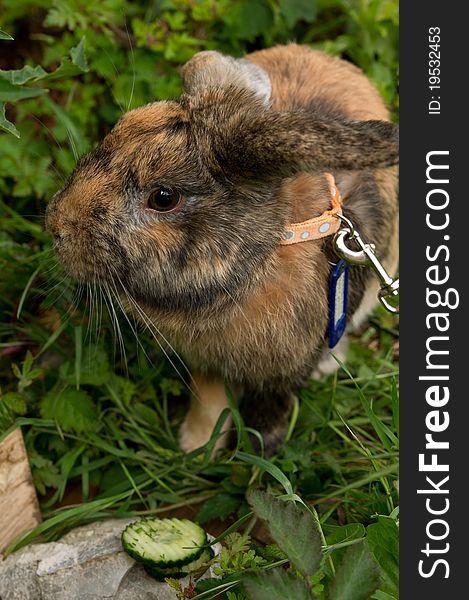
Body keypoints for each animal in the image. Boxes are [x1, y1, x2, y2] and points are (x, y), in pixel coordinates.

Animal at [44, 43, 398, 454]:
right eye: (118, 129)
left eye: (163, 198)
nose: (55, 225)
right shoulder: (207, 364)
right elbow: (210, 399)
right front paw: (196, 447)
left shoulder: (289, 367)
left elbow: (273, 405)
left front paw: (257, 452)